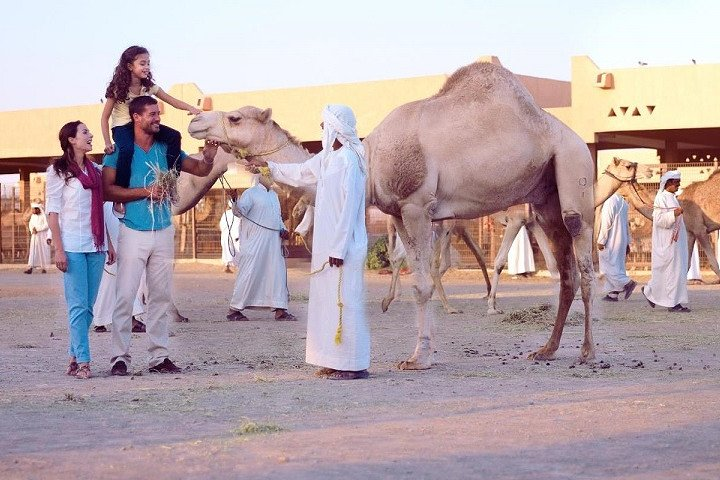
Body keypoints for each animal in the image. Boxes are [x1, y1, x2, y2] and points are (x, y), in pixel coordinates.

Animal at [184, 62, 599, 368]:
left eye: (235, 118)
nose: (195, 122)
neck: (370, 159)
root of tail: (572, 136)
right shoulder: (399, 212)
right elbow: (414, 274)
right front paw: (418, 349)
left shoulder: (417, 205)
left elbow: (422, 283)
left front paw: (418, 357)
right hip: (544, 199)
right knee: (565, 271)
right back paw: (546, 349)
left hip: (574, 168)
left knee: (584, 262)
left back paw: (587, 352)